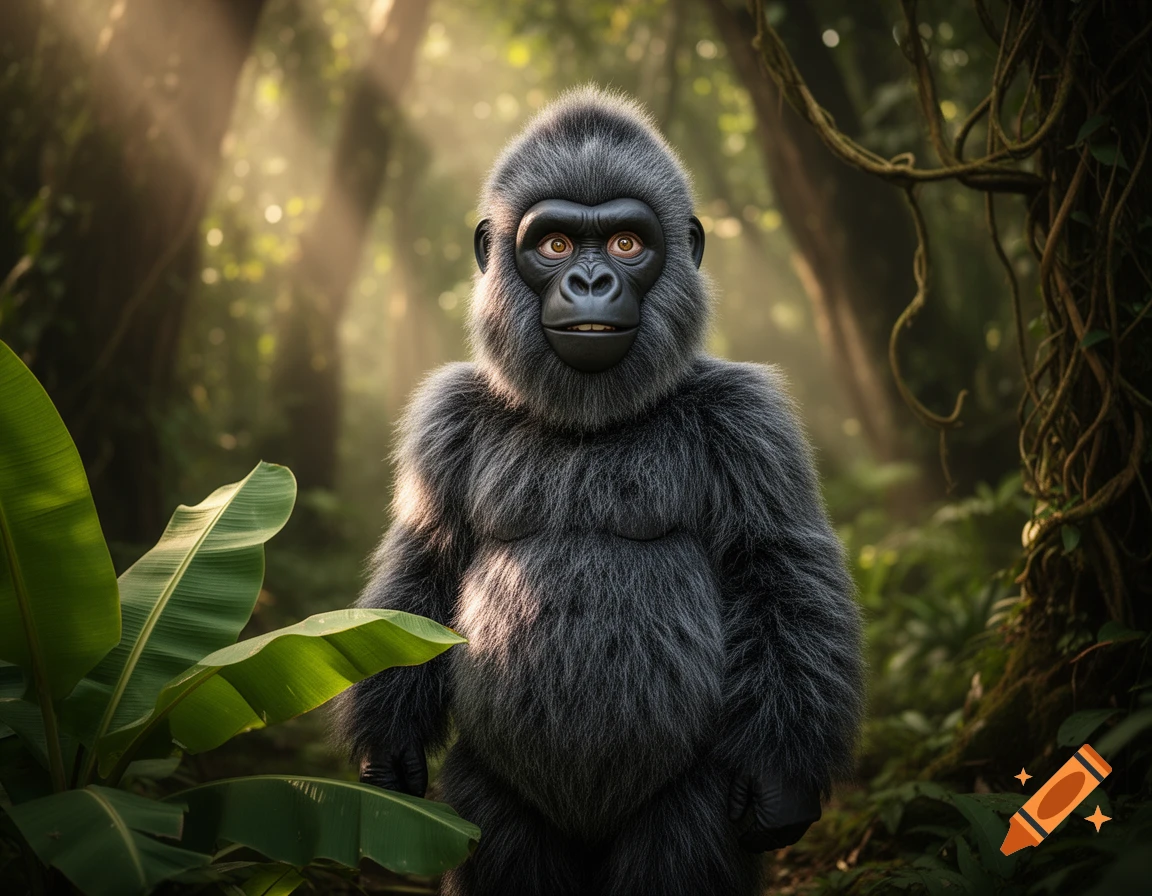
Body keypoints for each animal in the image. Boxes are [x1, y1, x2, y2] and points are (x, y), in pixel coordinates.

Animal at [334, 86, 864, 896]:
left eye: (624, 244)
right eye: (554, 246)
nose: (590, 283)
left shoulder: (750, 420)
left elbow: (778, 569)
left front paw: (781, 781)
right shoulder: (445, 420)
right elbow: (425, 567)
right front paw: (386, 749)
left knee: (679, 851)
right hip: (486, 799)